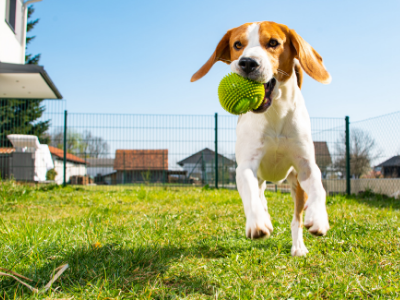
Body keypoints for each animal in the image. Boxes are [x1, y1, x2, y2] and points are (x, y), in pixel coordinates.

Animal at [191, 21, 332, 255]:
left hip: (296, 184)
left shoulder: (305, 165)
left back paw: (298, 246)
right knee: (259, 194)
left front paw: (319, 217)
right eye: (237, 45)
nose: (247, 62)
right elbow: (250, 192)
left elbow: (319, 188)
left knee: (296, 218)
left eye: (273, 43)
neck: (275, 113)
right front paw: (257, 223)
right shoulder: (246, 166)